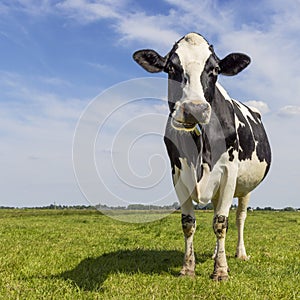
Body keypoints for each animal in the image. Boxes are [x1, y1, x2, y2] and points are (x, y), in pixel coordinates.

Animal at [132, 32, 270, 282]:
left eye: (215, 69)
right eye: (171, 68)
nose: (194, 109)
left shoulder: (229, 173)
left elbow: (222, 223)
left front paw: (221, 271)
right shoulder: (178, 174)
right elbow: (189, 223)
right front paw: (188, 268)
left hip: (246, 187)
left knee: (239, 217)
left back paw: (240, 253)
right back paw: (216, 253)